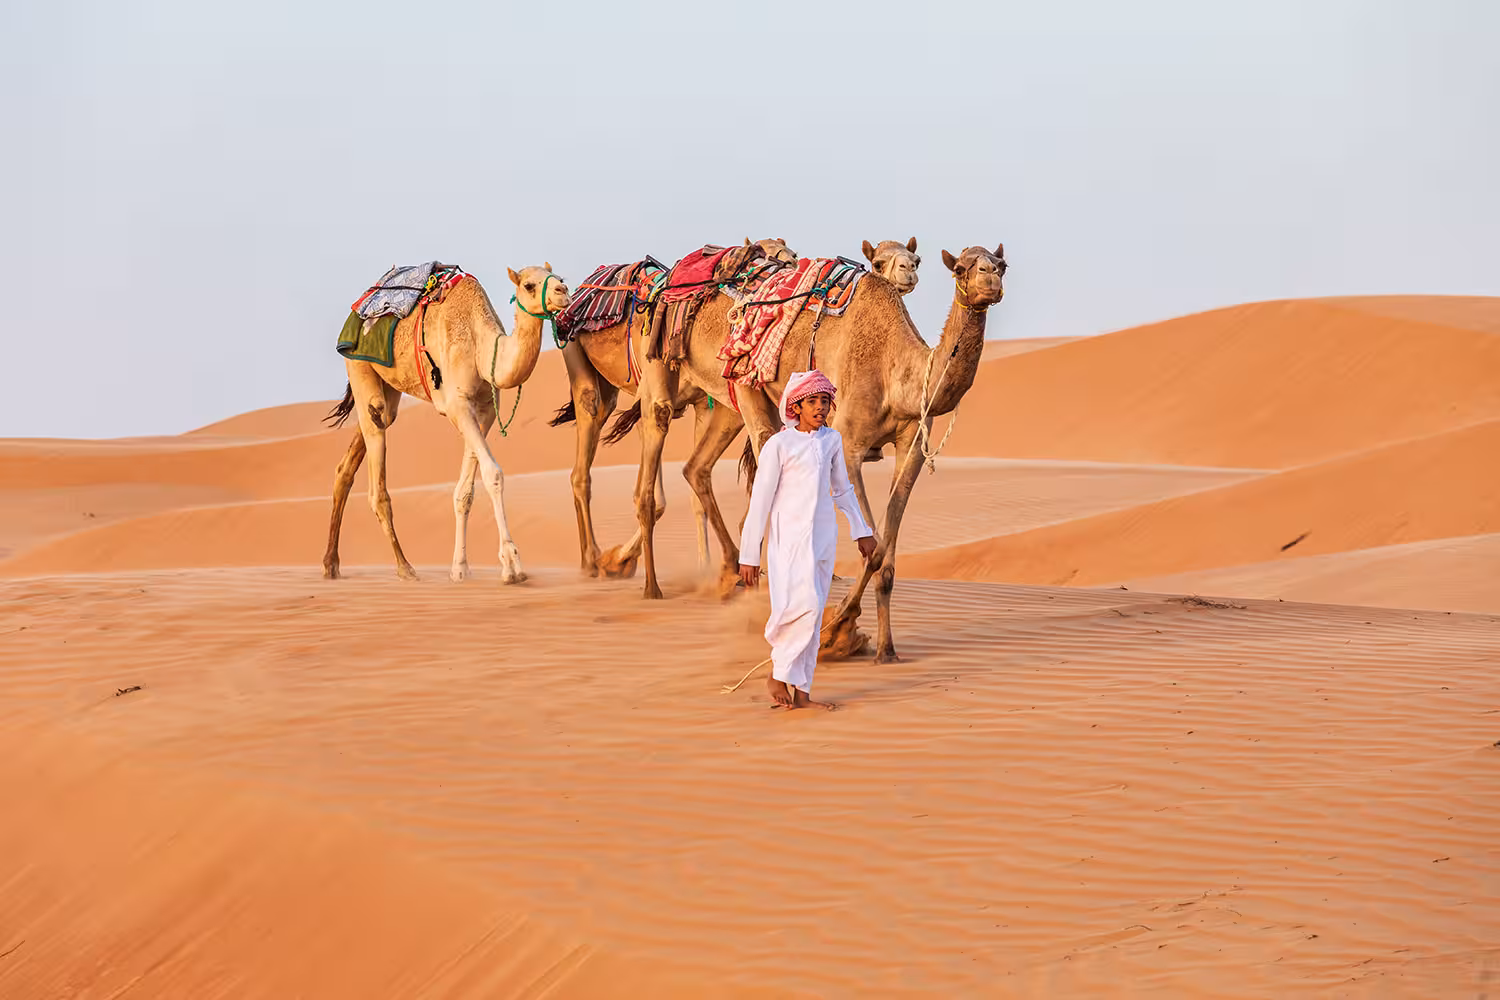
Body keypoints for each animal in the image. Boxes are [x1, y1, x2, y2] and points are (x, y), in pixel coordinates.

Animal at [321, 265, 571, 584]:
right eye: (529, 285)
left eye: (560, 279)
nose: (563, 293)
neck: (480, 343)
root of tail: (359, 305)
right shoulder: (457, 405)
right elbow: (493, 473)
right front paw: (512, 565)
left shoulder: (485, 410)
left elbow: (465, 492)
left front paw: (460, 569)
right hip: (358, 364)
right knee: (377, 478)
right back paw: (405, 567)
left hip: (389, 388)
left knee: (357, 451)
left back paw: (331, 564)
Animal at [632, 244, 1006, 661]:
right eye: (960, 268)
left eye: (1002, 264)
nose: (990, 278)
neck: (896, 371)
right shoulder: (850, 445)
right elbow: (873, 548)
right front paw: (838, 628)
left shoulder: (911, 447)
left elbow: (887, 552)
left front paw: (885, 649)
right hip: (734, 375)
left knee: (701, 468)